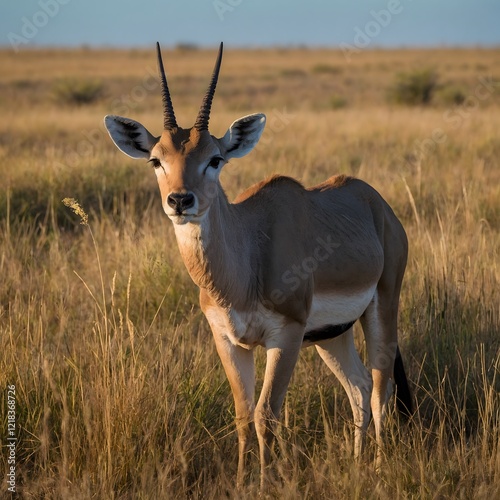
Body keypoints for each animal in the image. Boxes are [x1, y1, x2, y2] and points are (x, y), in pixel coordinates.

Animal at [103, 43, 412, 488]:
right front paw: (239, 481)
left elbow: (266, 414)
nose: (180, 200)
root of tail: (377, 205)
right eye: (156, 160)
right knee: (356, 388)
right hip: (330, 336)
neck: (247, 256)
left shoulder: (285, 337)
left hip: (381, 310)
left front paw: (266, 483)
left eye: (215, 159)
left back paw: (379, 467)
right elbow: (243, 415)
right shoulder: (229, 341)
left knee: (378, 386)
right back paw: (356, 464)